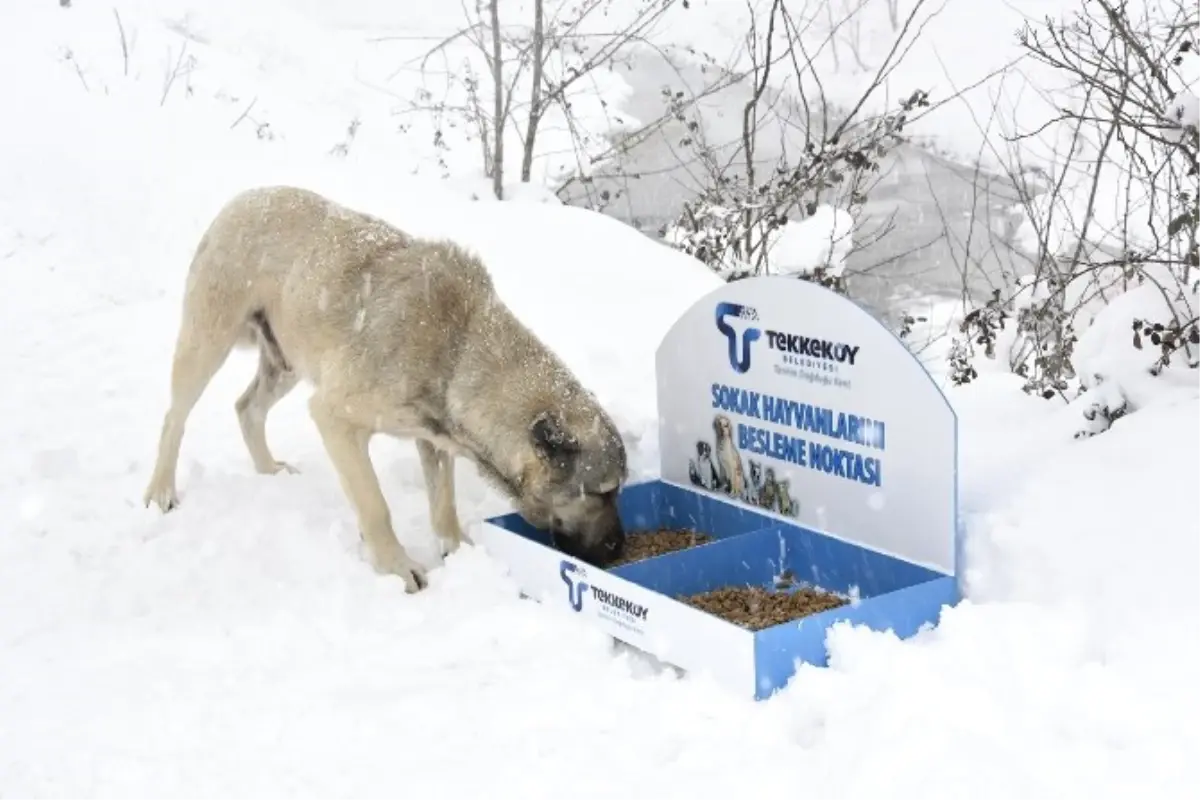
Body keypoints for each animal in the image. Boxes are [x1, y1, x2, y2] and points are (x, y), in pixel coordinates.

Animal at [142, 184, 628, 592]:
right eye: (603, 492)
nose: (619, 548)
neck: (458, 351)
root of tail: (245, 196)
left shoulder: (433, 439)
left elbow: (443, 503)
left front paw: (456, 551)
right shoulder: (335, 418)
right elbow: (376, 505)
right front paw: (397, 566)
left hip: (287, 362)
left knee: (247, 408)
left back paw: (269, 471)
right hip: (208, 340)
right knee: (174, 416)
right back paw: (161, 491)